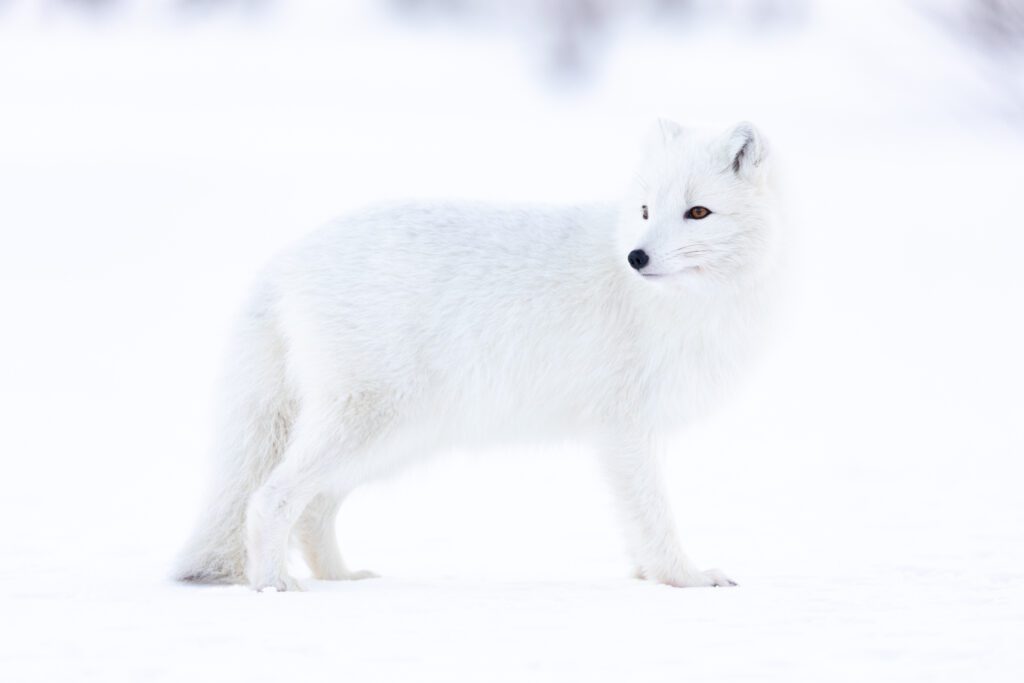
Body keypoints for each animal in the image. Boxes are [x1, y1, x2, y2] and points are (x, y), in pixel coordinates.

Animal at [174, 119, 781, 591]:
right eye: (647, 209)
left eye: (698, 212)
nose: (636, 256)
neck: (683, 305)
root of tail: (285, 260)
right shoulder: (624, 429)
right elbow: (654, 516)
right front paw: (683, 578)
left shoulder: (626, 437)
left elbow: (634, 519)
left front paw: (646, 575)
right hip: (369, 423)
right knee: (269, 498)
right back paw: (272, 584)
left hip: (395, 437)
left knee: (315, 509)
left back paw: (340, 579)